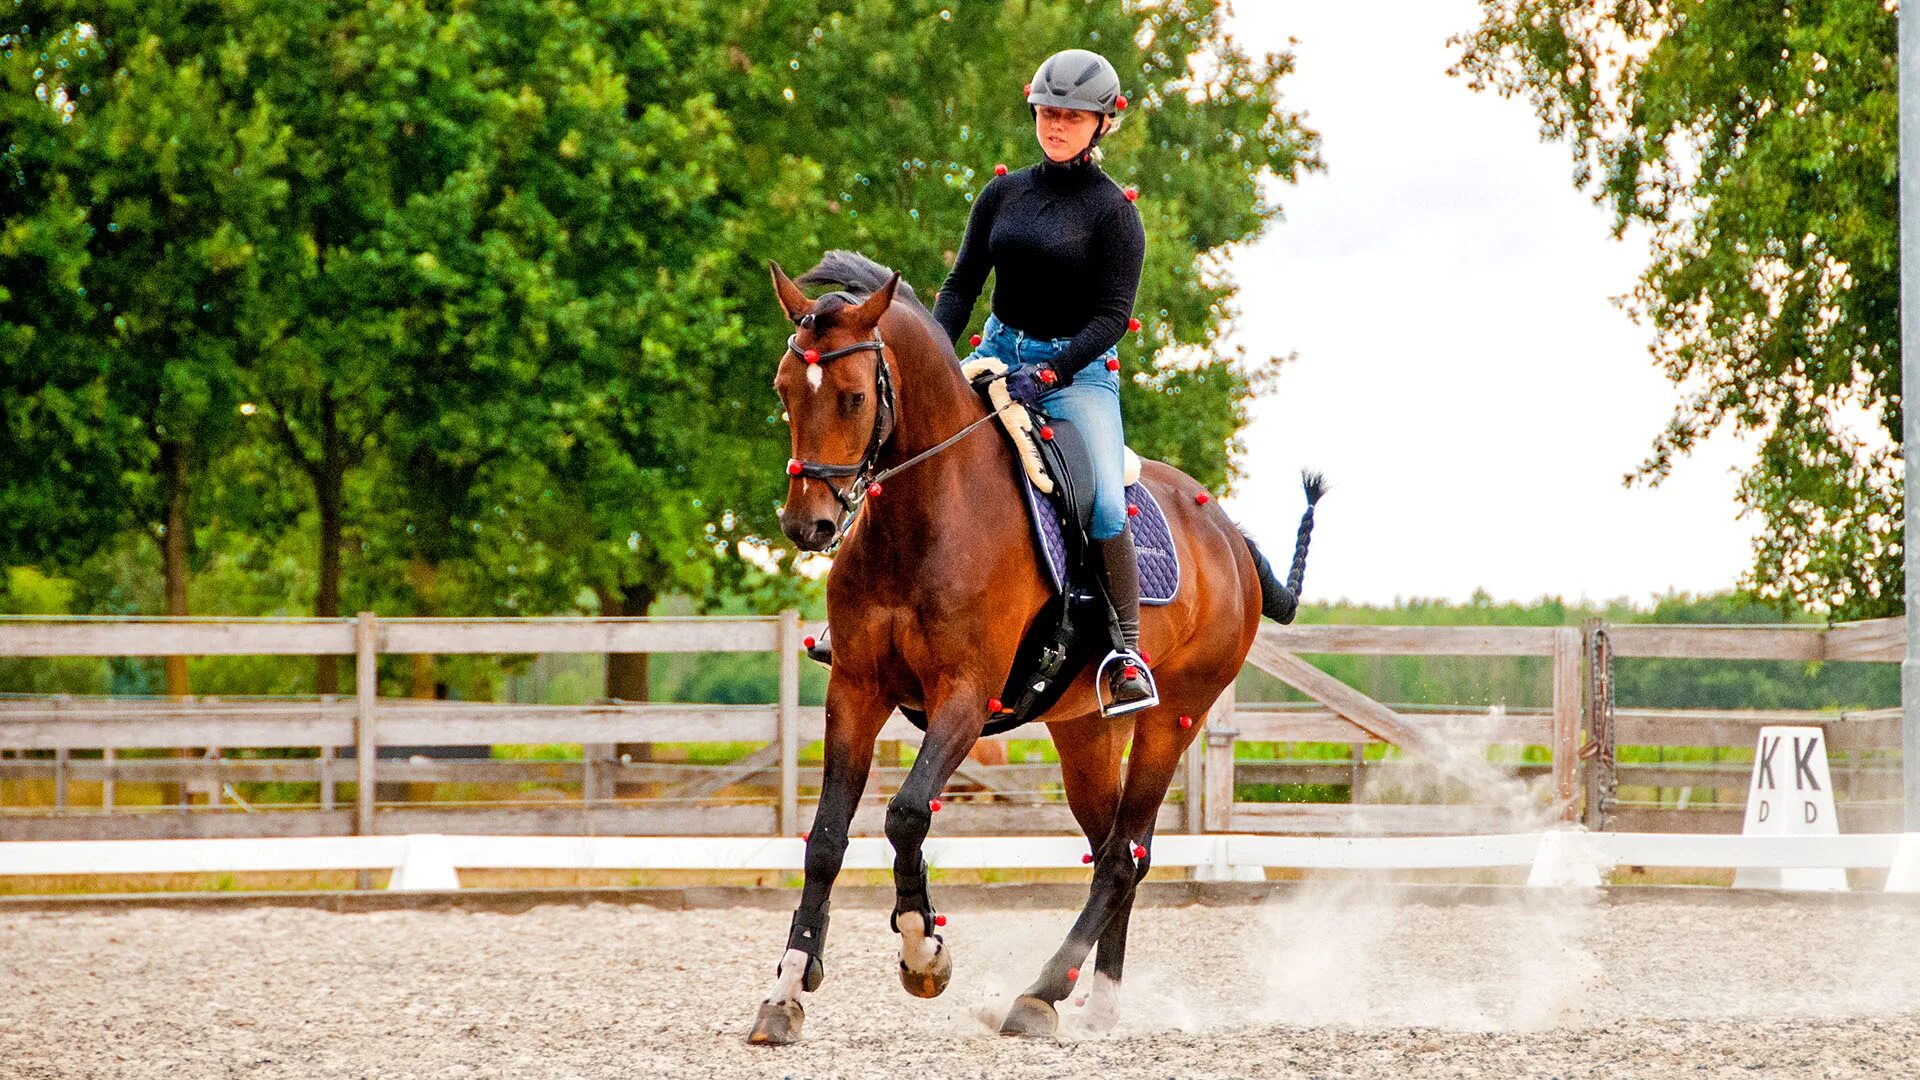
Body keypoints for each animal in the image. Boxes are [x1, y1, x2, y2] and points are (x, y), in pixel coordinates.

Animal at [748, 247, 1320, 1037]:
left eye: (855, 398)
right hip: (1083, 730)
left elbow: (906, 814)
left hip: (1176, 717)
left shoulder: (965, 695)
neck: (926, 513)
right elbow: (828, 838)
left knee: (1123, 854)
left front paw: (924, 952)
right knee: (1115, 848)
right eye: (783, 389)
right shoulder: (856, 689)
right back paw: (1097, 999)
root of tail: (1230, 535)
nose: (808, 527)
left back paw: (1041, 993)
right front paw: (787, 991)